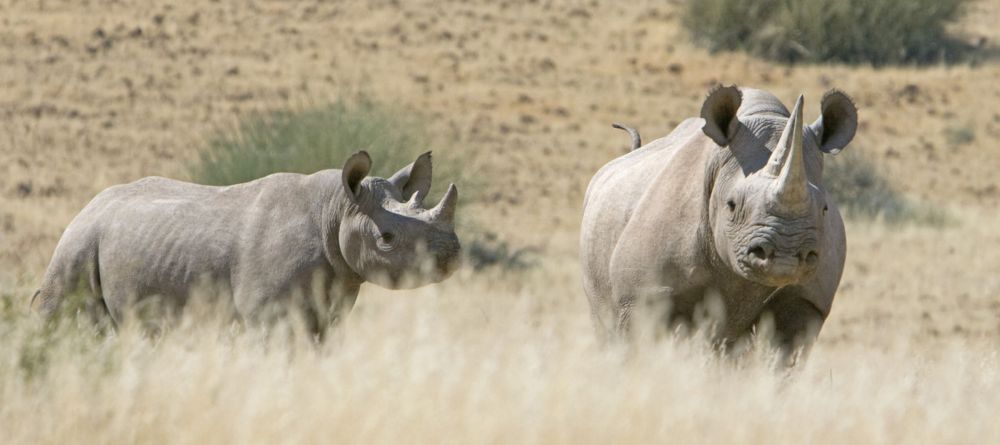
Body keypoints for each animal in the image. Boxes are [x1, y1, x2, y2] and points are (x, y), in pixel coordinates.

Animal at [32, 151, 461, 334]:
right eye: (386, 239)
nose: (451, 255)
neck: (337, 208)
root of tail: (87, 207)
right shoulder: (268, 315)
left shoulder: (331, 307)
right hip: (78, 244)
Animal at [580, 86, 857, 353]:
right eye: (731, 205)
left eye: (824, 209)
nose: (785, 257)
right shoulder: (642, 294)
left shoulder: (807, 299)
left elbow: (782, 354)